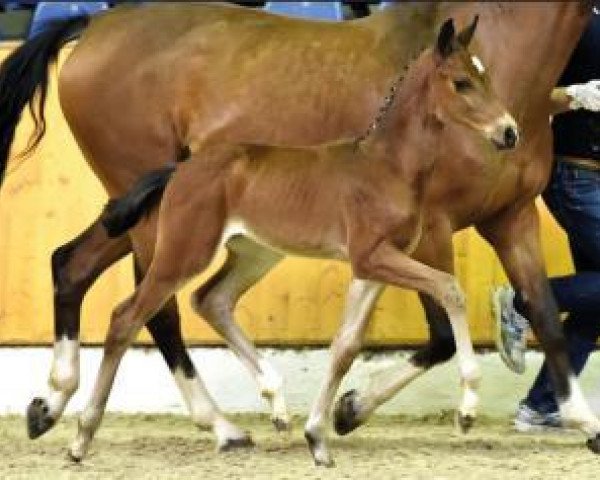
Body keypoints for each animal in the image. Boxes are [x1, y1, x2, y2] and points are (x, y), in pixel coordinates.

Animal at [74, 18, 516, 464]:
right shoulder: (372, 256)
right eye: (461, 82)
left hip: (255, 253)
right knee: (127, 317)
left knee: (211, 299)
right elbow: (450, 288)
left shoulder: (373, 266)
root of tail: (179, 169)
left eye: (487, 77)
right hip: (185, 253)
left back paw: (276, 405)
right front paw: (467, 410)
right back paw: (82, 436)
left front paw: (319, 437)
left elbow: (345, 347)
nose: (510, 132)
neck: (387, 167)